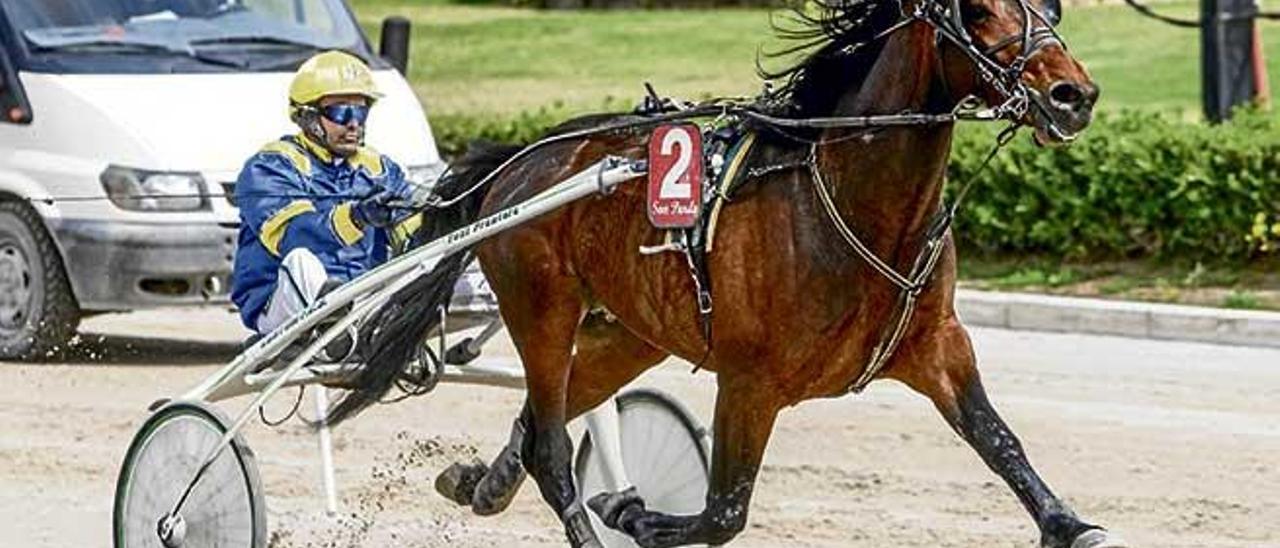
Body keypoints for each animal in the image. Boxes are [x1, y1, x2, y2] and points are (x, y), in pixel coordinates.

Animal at [332, 0, 1121, 545]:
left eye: (1050, 7)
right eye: (978, 11)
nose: (1072, 95)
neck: (854, 203)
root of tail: (526, 160)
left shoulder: (937, 347)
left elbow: (1002, 443)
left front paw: (1070, 523)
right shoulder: (751, 380)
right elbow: (723, 512)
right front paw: (636, 514)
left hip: (629, 332)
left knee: (538, 420)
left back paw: (482, 483)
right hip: (541, 306)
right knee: (552, 446)